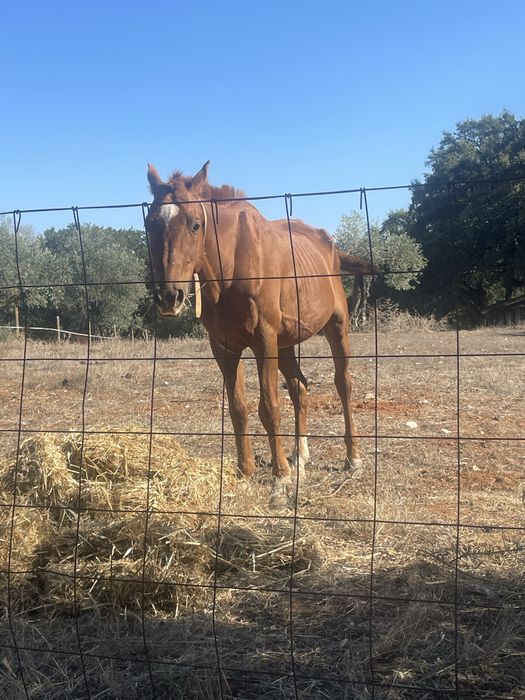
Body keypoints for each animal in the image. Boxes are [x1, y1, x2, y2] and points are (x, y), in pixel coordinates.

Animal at [145, 162, 374, 506]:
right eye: (150, 224)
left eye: (195, 225)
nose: (169, 297)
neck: (231, 267)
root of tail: (330, 245)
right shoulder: (224, 348)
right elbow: (238, 408)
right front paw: (245, 471)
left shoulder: (263, 341)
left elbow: (269, 409)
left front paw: (280, 482)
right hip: (286, 344)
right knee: (300, 388)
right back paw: (299, 457)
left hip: (336, 327)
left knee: (343, 385)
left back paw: (353, 458)